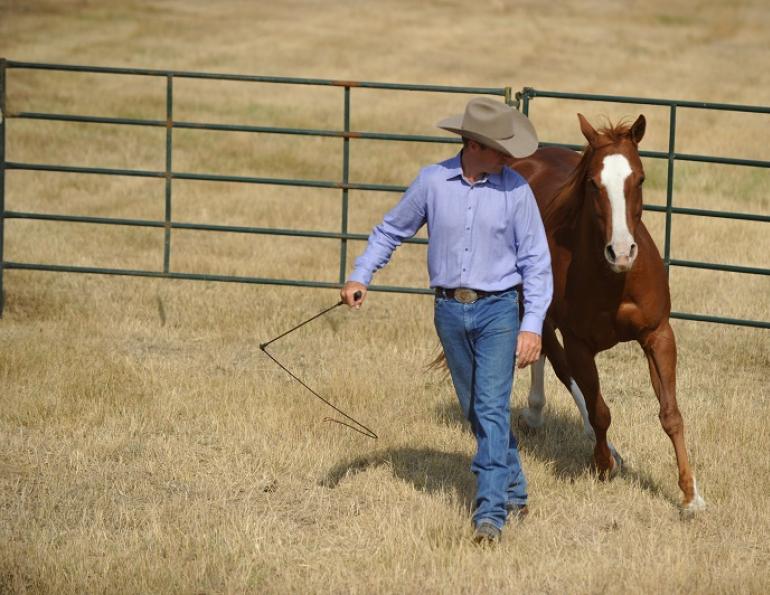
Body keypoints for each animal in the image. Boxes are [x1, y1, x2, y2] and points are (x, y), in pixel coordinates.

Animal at [508, 113, 706, 513]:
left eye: (640, 178)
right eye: (593, 183)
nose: (622, 251)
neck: (616, 280)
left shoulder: (658, 335)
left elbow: (671, 414)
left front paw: (691, 494)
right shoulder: (579, 344)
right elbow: (600, 410)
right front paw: (603, 465)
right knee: (557, 364)